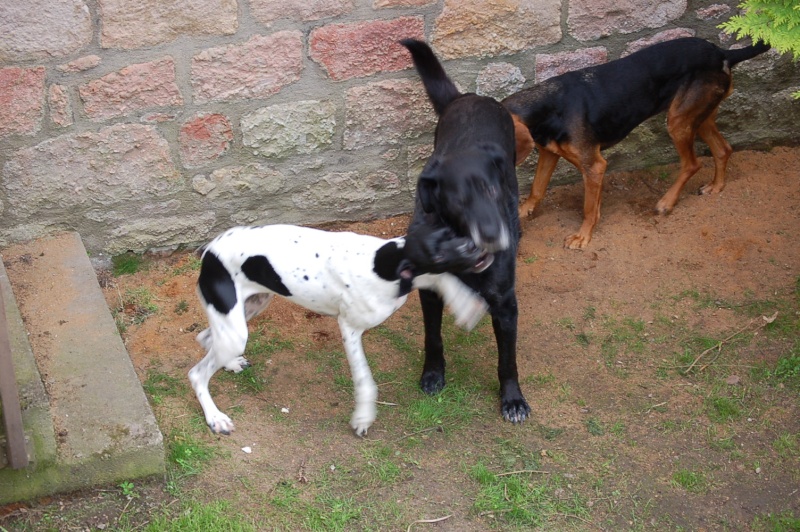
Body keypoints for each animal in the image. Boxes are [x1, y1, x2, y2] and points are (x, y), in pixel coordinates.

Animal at [400, 38, 532, 424]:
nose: (491, 235)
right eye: (457, 201)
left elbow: (508, 360)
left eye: (491, 190)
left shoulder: (506, 304)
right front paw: (433, 373)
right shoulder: (429, 292)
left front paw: (512, 399)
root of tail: (468, 96)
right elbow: (433, 338)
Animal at [504, 37, 772, 249]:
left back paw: (666, 203)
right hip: (699, 115)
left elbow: (589, 208)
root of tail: (722, 53)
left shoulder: (594, 166)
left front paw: (583, 236)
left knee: (693, 164)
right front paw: (523, 210)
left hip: (678, 121)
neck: (548, 106)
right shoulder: (549, 153)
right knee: (723, 149)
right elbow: (537, 188)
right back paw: (716, 186)